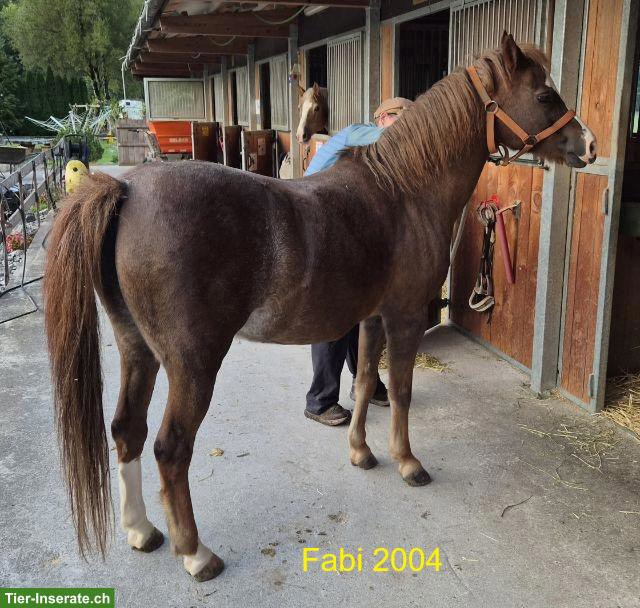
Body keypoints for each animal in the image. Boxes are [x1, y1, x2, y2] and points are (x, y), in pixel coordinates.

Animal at [44, 34, 596, 582]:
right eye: (544, 95)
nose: (588, 145)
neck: (405, 189)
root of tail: (128, 189)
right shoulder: (403, 317)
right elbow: (400, 390)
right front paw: (407, 462)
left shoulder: (371, 318)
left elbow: (366, 380)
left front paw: (361, 451)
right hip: (192, 363)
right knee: (170, 448)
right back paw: (196, 553)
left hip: (137, 349)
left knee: (127, 430)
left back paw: (141, 530)